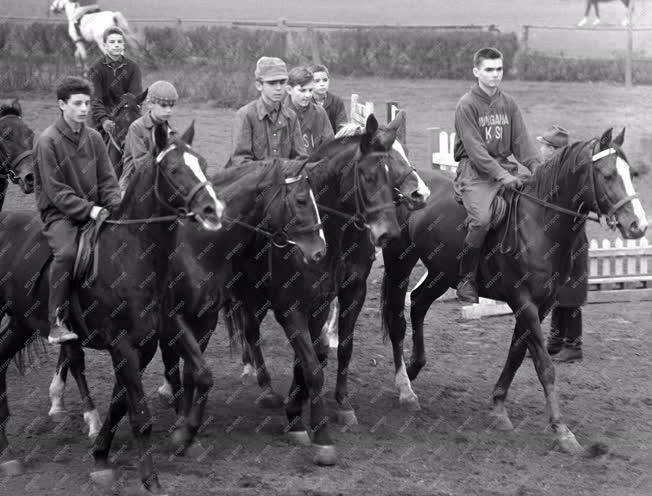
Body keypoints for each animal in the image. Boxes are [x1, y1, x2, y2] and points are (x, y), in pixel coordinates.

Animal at [0, 122, 224, 494]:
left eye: (203, 164)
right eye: (174, 169)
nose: (213, 210)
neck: (132, 253)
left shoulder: (154, 338)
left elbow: (130, 401)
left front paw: (105, 453)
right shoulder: (123, 345)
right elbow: (140, 416)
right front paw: (150, 478)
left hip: (20, 322)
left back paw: (6, 452)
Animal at [380, 128, 644, 454]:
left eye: (630, 173)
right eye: (607, 175)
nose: (638, 225)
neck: (540, 224)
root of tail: (406, 192)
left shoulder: (540, 306)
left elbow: (517, 353)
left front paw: (498, 406)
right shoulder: (523, 302)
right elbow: (544, 365)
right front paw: (562, 431)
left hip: (442, 273)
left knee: (417, 304)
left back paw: (414, 368)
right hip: (399, 265)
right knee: (397, 321)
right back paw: (405, 388)